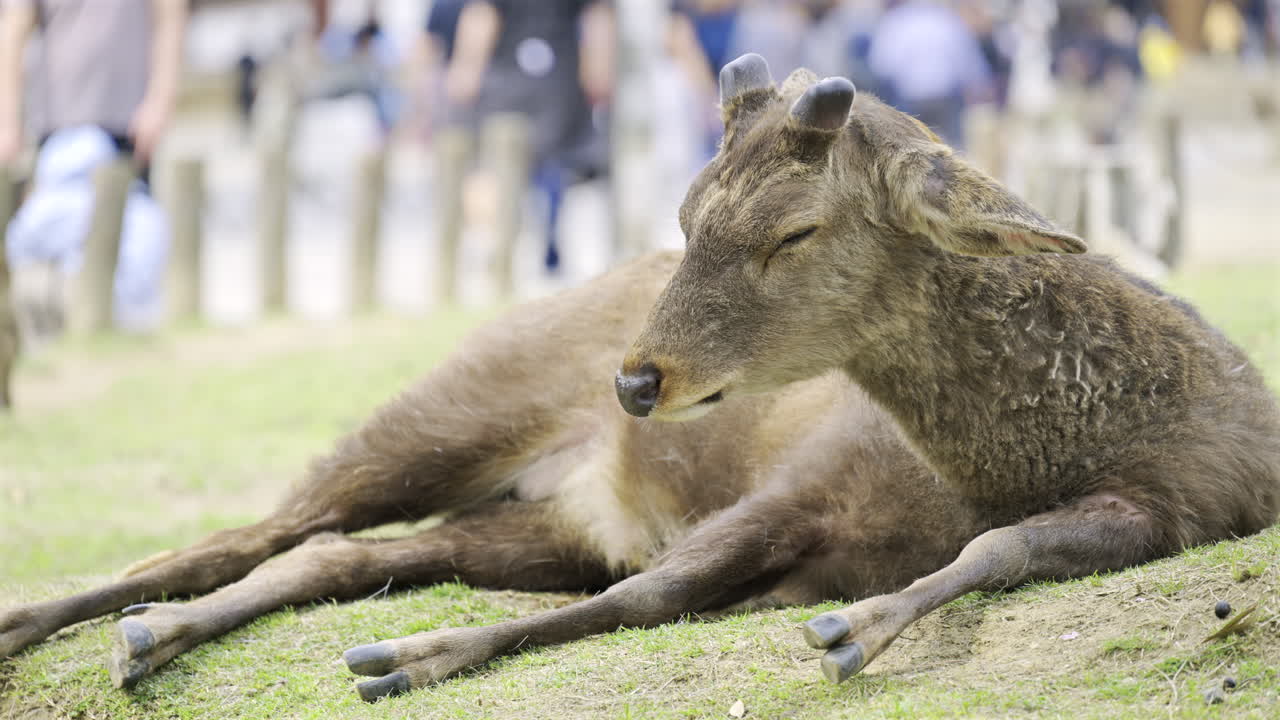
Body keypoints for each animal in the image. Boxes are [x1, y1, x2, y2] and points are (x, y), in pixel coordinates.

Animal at [2, 55, 1277, 703]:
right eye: (684, 212)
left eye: (793, 231)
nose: (634, 383)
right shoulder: (800, 471)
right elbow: (657, 594)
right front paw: (416, 657)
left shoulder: (1180, 507)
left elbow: (999, 550)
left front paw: (857, 625)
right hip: (451, 403)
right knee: (258, 528)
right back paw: (61, 621)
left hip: (545, 523)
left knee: (333, 556)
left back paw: (152, 638)